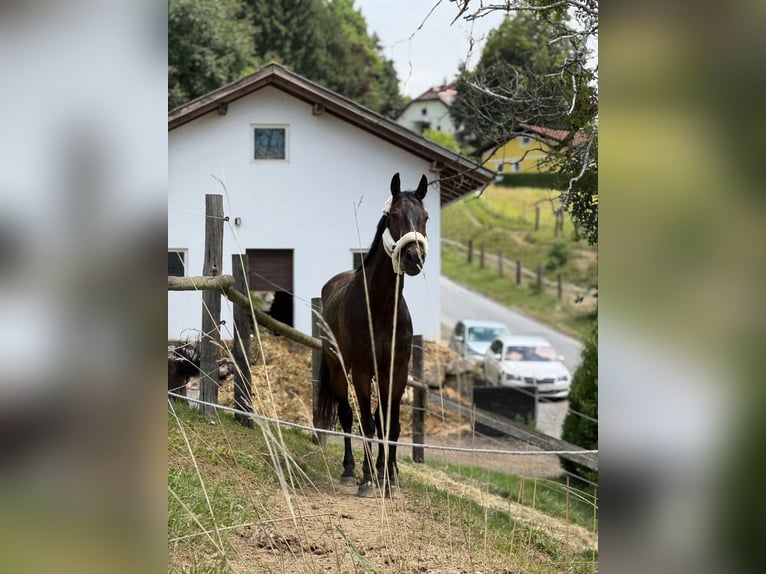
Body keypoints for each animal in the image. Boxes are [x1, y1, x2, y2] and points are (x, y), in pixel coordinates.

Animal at [316, 172, 429, 497]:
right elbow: (365, 423)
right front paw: (367, 480)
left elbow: (390, 426)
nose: (413, 258)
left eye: (425, 217)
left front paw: (390, 480)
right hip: (338, 369)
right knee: (346, 415)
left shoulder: (397, 371)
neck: (380, 309)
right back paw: (351, 470)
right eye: (394, 216)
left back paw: (382, 471)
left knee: (379, 420)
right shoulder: (363, 371)